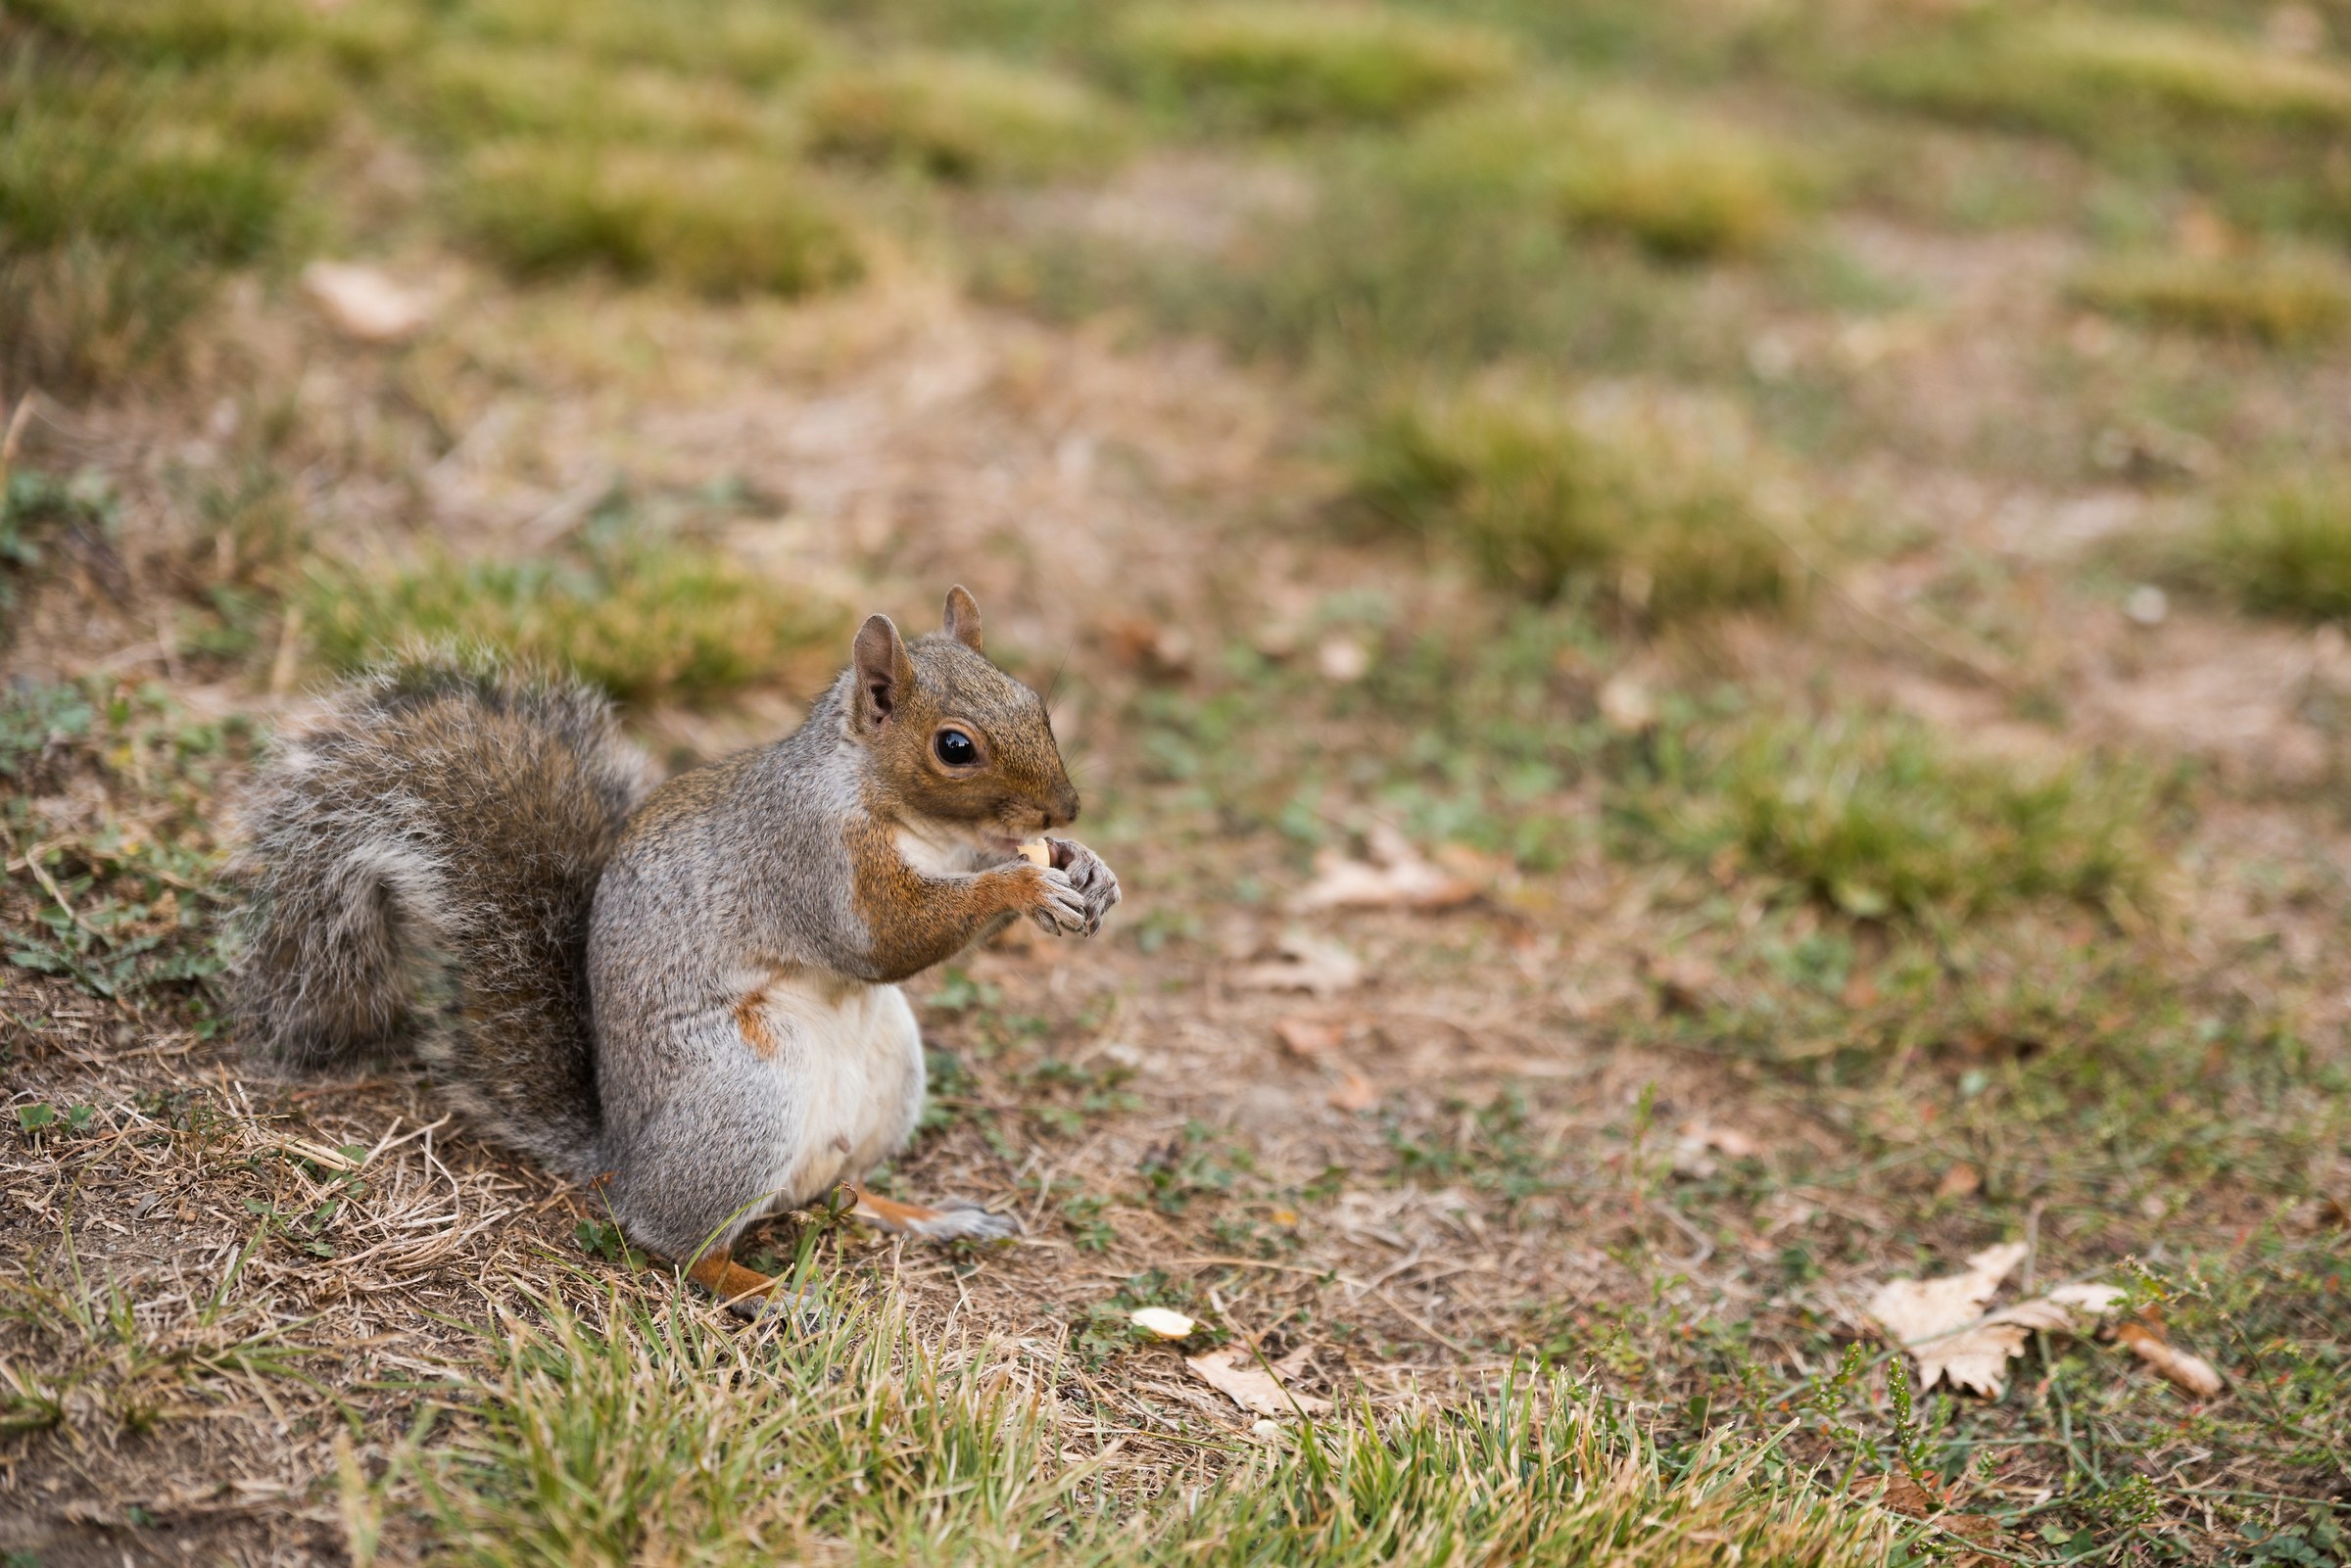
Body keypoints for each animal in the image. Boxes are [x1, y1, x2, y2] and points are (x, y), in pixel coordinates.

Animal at [229, 586, 1119, 1314]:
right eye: (955, 747)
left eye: (1034, 701)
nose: (1066, 805)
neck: (910, 819)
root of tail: (621, 1156)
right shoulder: (809, 856)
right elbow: (885, 938)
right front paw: (1023, 884)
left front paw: (1085, 865)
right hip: (741, 1097)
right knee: (677, 1241)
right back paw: (765, 1291)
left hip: (888, 1073)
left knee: (832, 1193)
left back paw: (931, 1217)